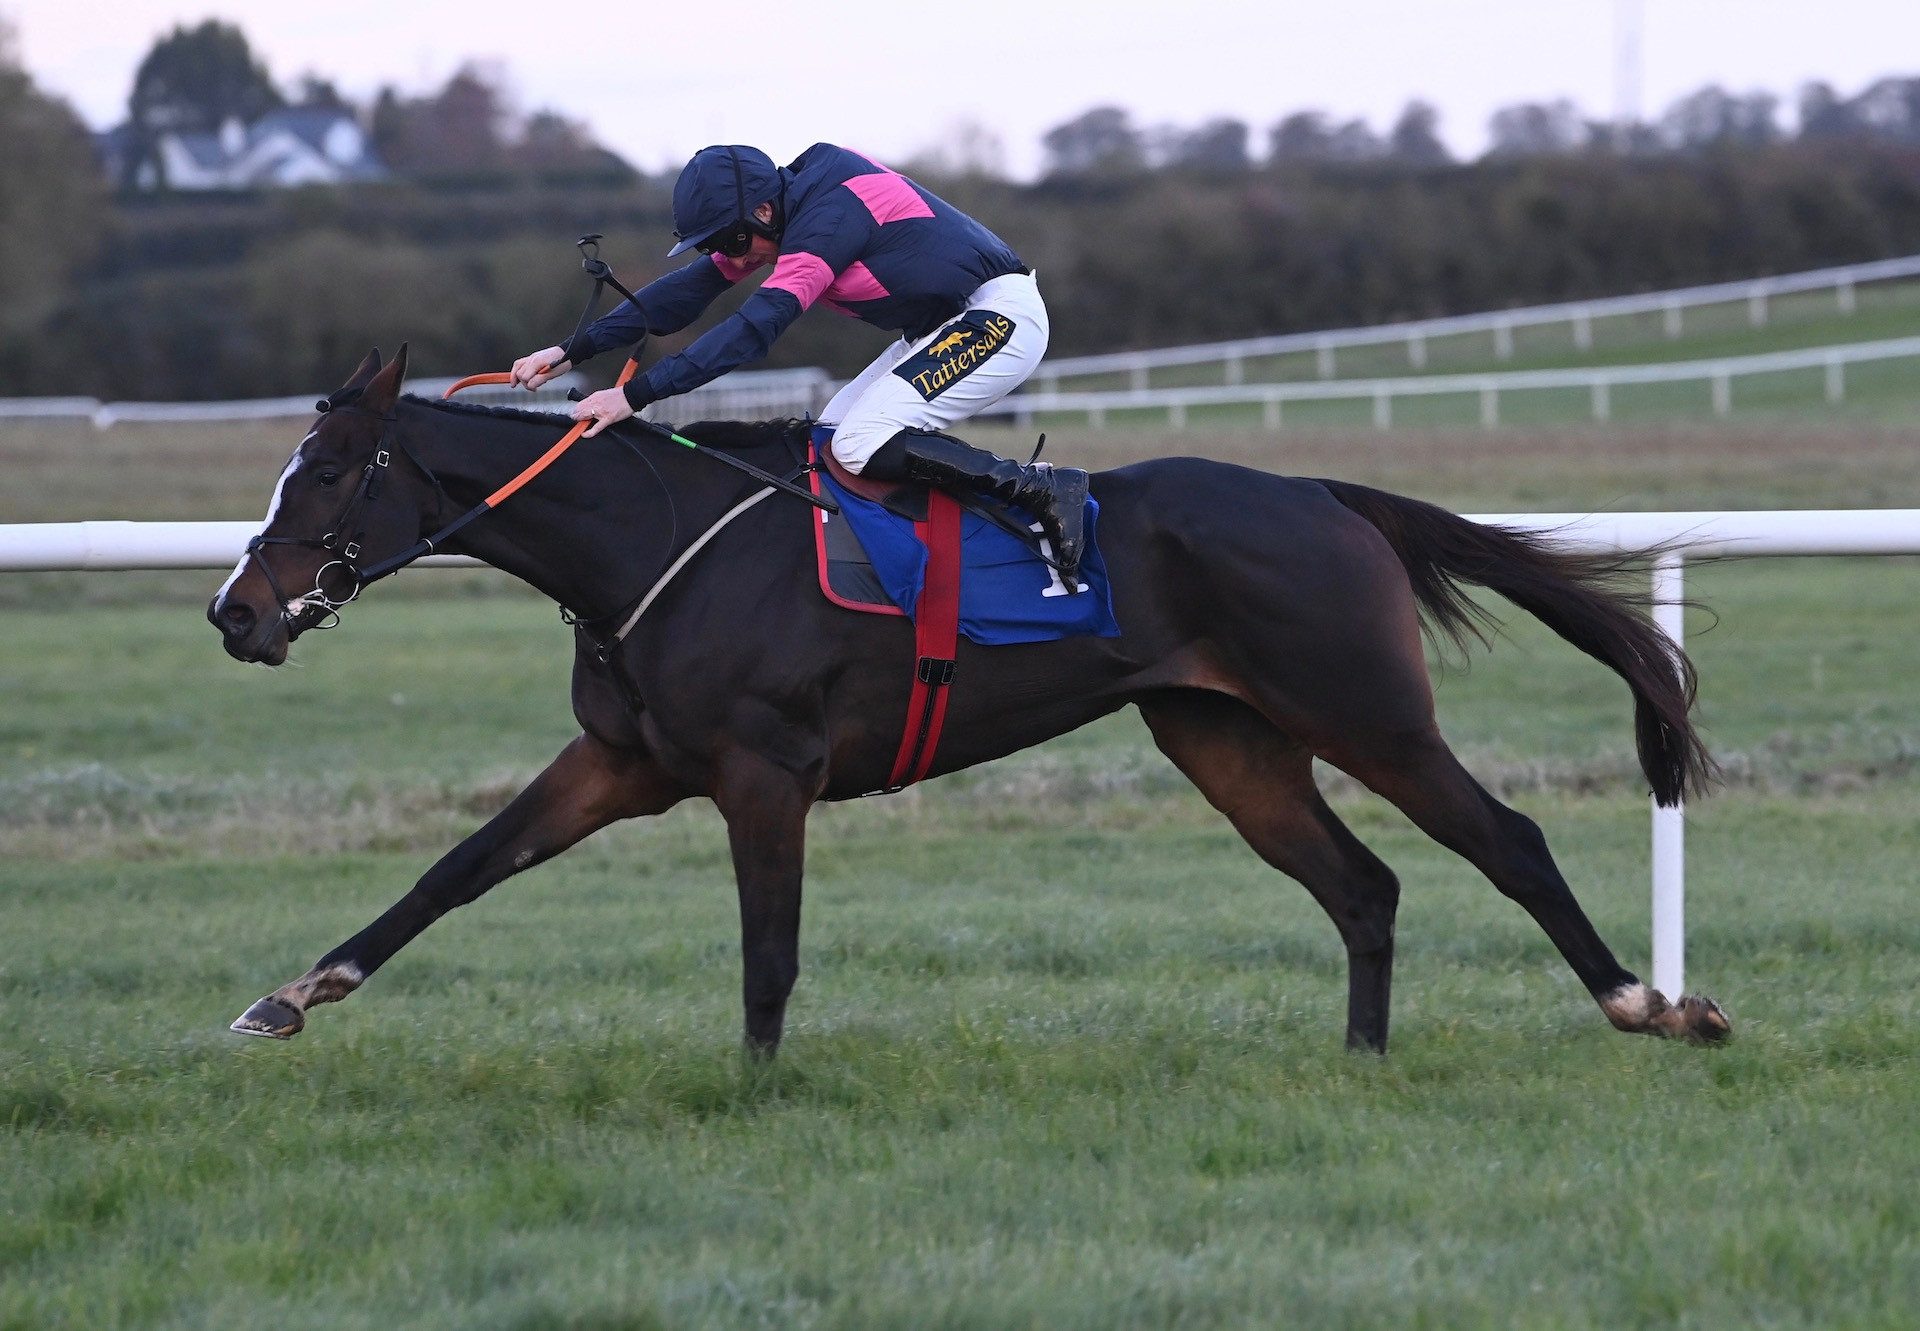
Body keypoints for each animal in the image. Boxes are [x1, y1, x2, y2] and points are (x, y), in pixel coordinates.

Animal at [202, 347, 1735, 1052]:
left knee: (1505, 840)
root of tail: (1326, 493)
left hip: (1366, 710)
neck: (648, 541)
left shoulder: (764, 771)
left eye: (327, 472)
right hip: (1228, 737)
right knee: (1363, 886)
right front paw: (290, 994)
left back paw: (1651, 1003)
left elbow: (769, 948)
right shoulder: (623, 762)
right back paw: (1361, 1059)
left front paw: (755, 1088)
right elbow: (456, 870)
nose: (236, 612)